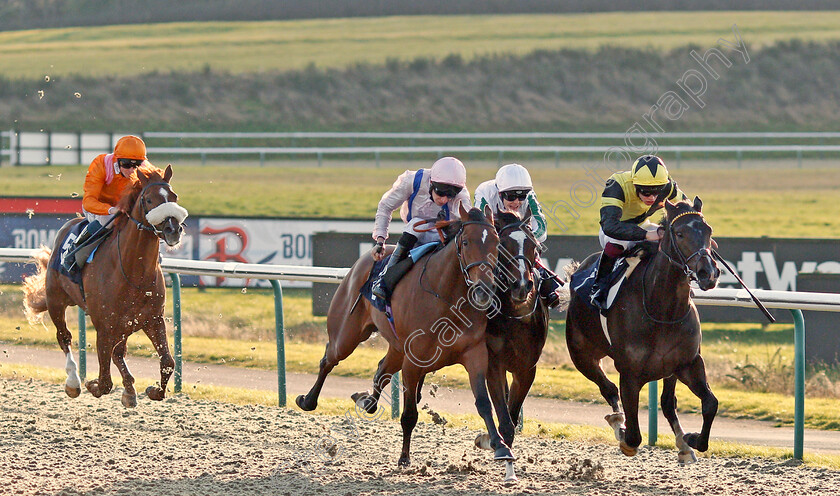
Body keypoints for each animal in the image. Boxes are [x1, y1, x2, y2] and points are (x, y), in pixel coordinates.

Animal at [23, 165, 187, 408]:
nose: (172, 229)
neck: (133, 272)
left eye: (174, 197)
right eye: (148, 199)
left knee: (119, 352)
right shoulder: (104, 325)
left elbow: (167, 361)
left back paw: (129, 390)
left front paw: (154, 390)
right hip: (56, 301)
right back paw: (73, 382)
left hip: (125, 323)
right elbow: (104, 381)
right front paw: (91, 384)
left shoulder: (153, 319)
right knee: (64, 337)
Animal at [296, 204, 512, 464]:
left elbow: (483, 403)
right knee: (329, 359)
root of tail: (364, 260)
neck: (445, 297)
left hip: (397, 347)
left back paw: (367, 401)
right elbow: (409, 414)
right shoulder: (413, 362)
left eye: (497, 243)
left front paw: (500, 445)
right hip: (346, 334)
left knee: (381, 371)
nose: (483, 291)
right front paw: (404, 457)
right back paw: (308, 400)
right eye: (467, 242)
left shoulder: (474, 353)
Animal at [568, 198, 720, 464]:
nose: (708, 273)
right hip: (582, 356)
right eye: (679, 233)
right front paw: (622, 429)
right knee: (608, 389)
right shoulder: (629, 374)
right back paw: (617, 420)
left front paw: (692, 439)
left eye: (708, 231)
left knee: (668, 403)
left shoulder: (688, 363)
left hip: (669, 370)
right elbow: (633, 436)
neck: (663, 311)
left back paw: (683, 445)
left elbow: (710, 403)